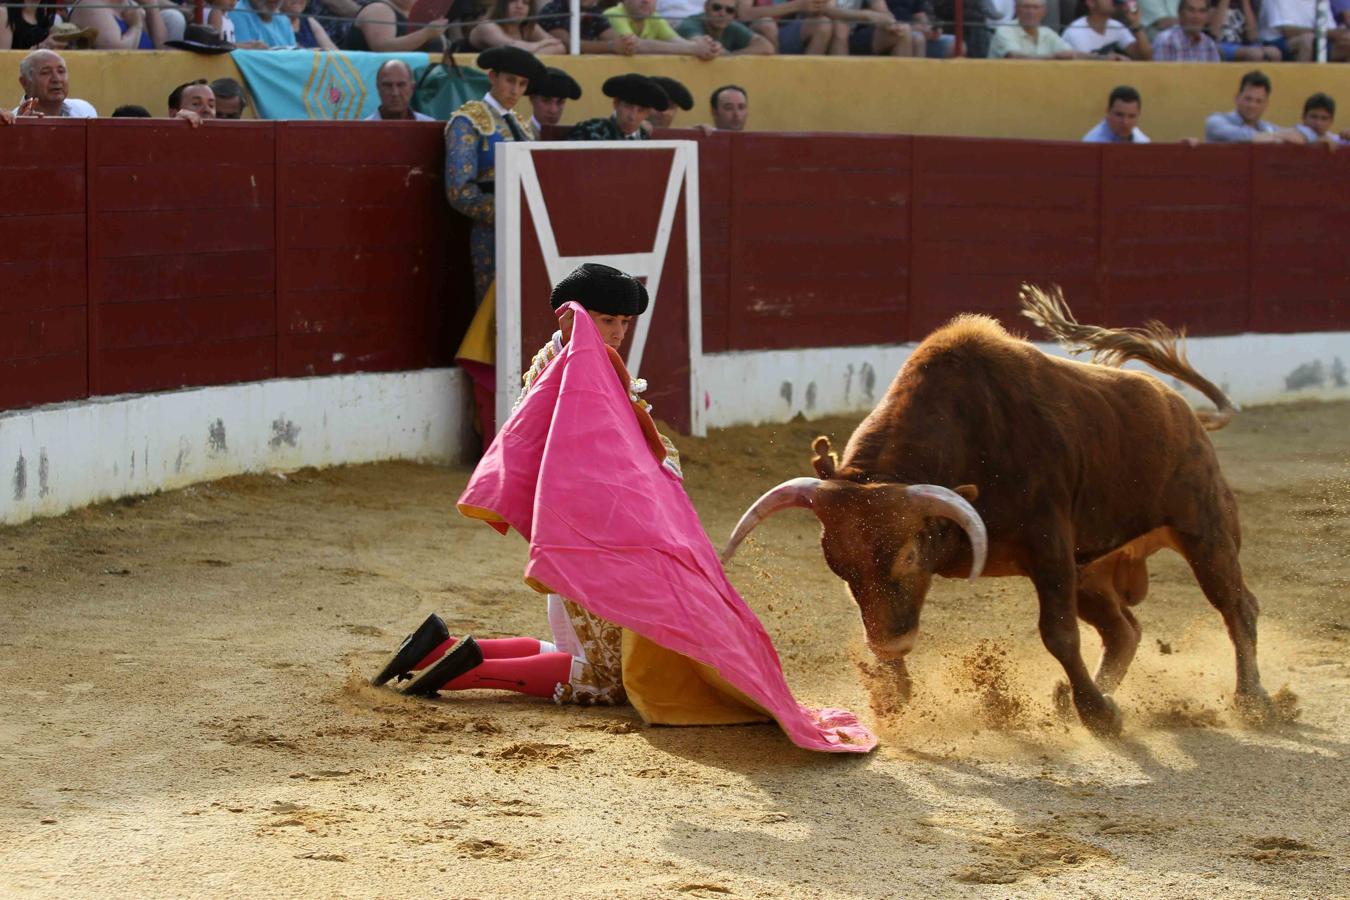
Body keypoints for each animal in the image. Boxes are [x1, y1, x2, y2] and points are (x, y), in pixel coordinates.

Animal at [723, 284, 1269, 734]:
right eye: (839, 567)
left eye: (908, 557)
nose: (892, 646)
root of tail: (1188, 414)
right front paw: (893, 694)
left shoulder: (1049, 545)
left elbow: (1059, 634)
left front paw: (1097, 717)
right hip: (1092, 567)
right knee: (1124, 631)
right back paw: (1080, 699)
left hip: (1205, 530)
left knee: (1236, 605)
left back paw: (1253, 700)